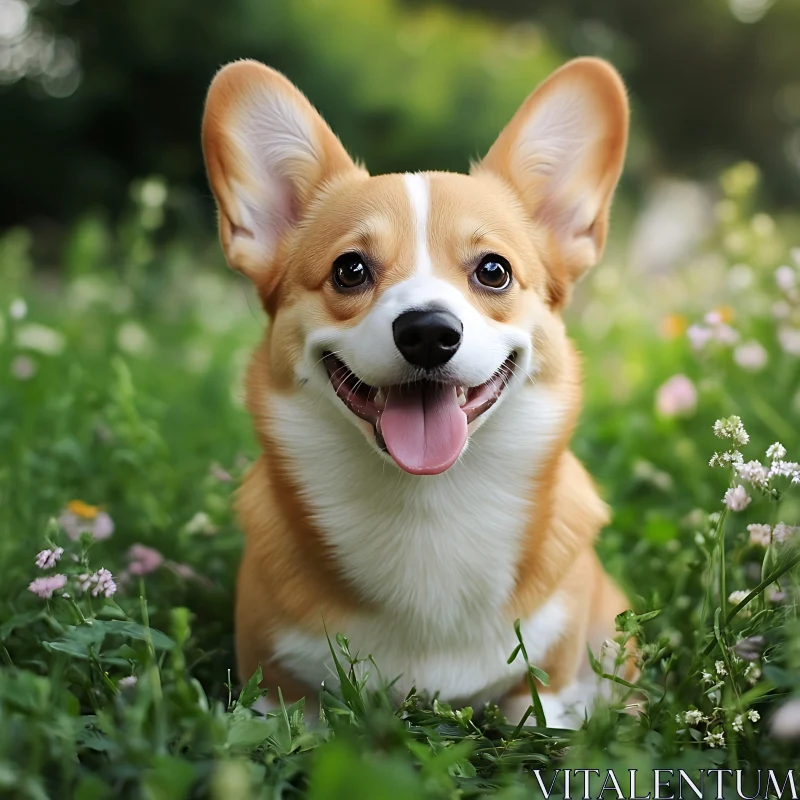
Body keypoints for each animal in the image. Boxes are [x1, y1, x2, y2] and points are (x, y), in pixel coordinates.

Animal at [203, 59, 636, 728]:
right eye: (350, 269)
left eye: (493, 270)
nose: (428, 332)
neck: (428, 510)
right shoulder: (277, 692)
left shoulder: (548, 686)